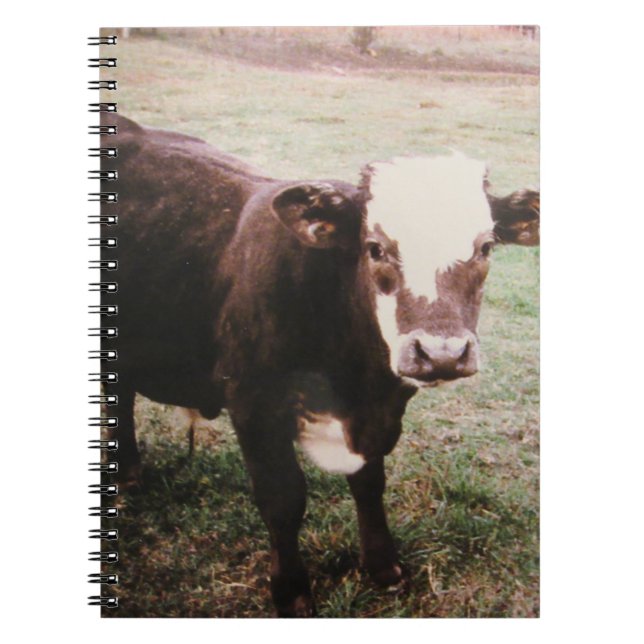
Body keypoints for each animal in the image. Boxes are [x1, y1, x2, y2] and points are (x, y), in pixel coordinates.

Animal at [99, 114, 416, 617]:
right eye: (377, 248)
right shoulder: (253, 403)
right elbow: (283, 497)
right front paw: (291, 589)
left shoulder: (373, 413)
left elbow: (368, 480)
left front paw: (384, 567)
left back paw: (128, 472)